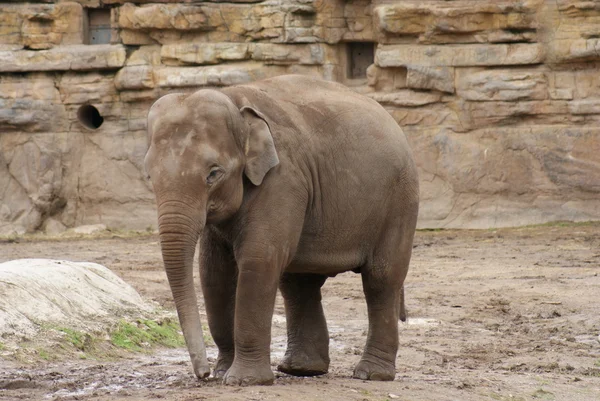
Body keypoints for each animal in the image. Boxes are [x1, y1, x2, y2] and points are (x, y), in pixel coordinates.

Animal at [144, 74, 418, 384]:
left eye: (213, 173)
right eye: (149, 176)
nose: (203, 374)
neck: (235, 100)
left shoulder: (283, 179)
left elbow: (259, 258)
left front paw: (242, 380)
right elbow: (214, 271)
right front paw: (224, 371)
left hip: (400, 201)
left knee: (381, 279)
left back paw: (370, 375)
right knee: (299, 282)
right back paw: (301, 369)